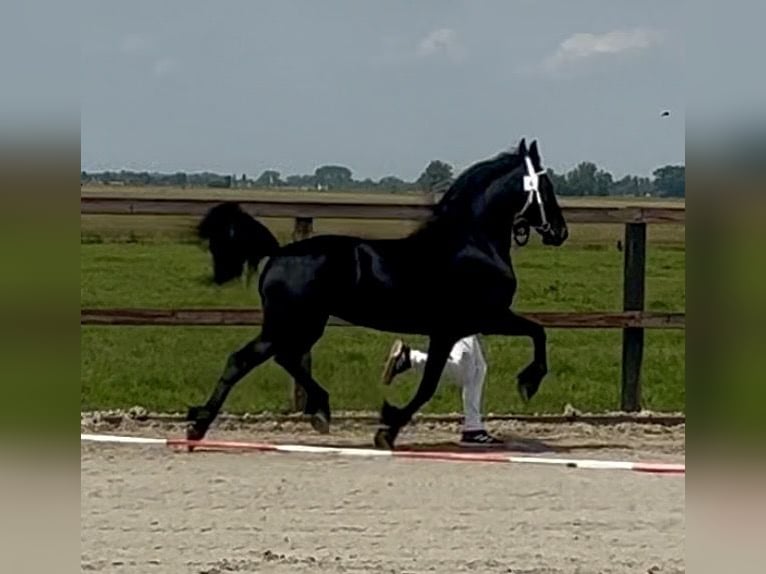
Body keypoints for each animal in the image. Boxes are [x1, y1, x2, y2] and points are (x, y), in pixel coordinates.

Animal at [187, 138, 568, 449]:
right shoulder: (474, 321)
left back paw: (316, 412)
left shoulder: (457, 328)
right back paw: (200, 427)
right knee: (248, 359)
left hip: (302, 325)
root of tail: (280, 253)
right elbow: (535, 333)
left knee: (281, 359)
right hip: (293, 323)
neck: (472, 244)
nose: (560, 232)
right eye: (546, 185)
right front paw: (528, 383)